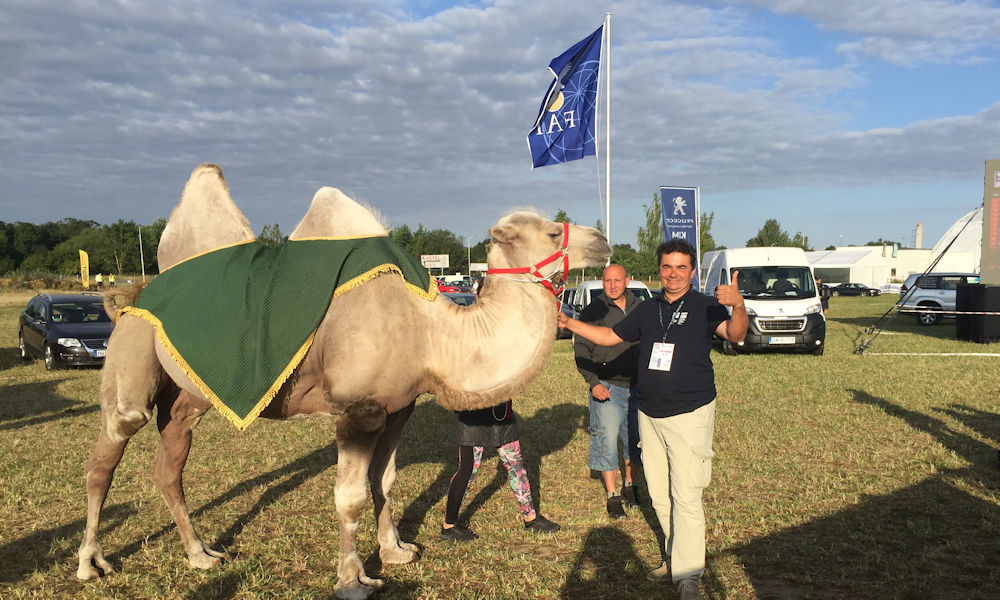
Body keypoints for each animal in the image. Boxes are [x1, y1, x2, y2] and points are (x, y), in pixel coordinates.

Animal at [76, 164, 612, 599]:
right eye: (550, 231)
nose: (603, 240)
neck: (428, 330)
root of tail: (129, 294)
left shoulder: (397, 406)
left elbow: (385, 480)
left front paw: (397, 552)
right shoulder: (357, 410)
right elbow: (350, 496)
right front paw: (353, 579)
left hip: (189, 394)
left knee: (170, 462)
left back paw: (200, 555)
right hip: (132, 353)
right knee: (109, 450)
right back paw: (90, 563)